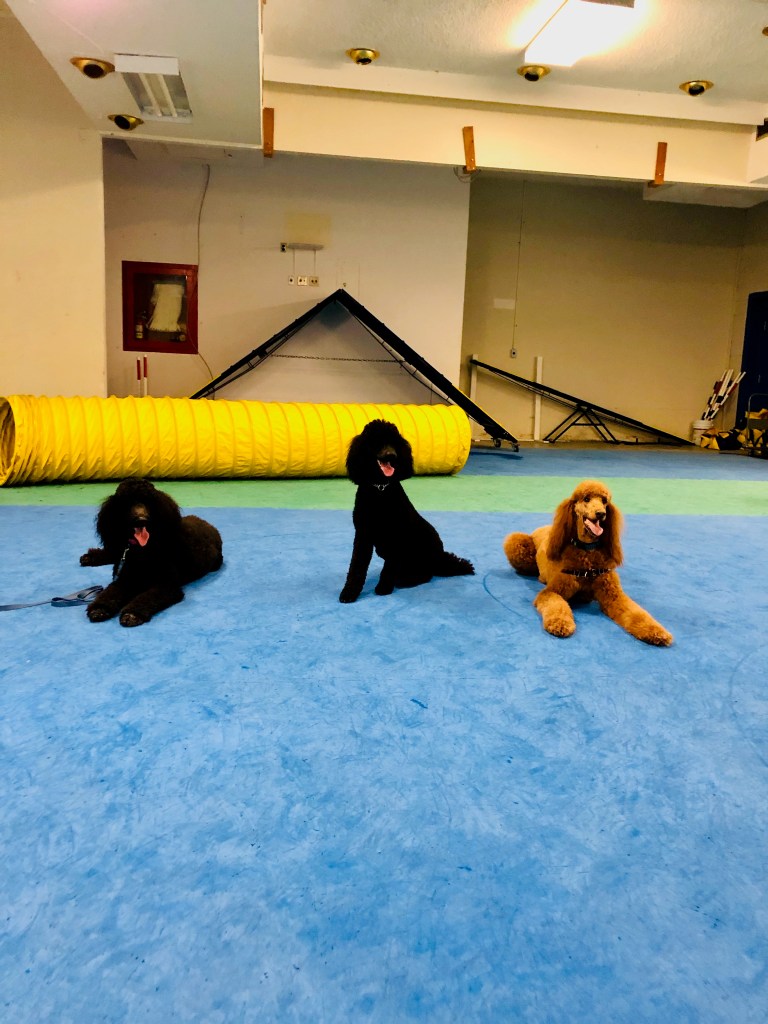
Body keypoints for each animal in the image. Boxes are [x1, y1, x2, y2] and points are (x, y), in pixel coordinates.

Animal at [80, 478, 223, 627]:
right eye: (127, 502)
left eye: (149, 502)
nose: (141, 520)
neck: (142, 550)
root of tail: (210, 526)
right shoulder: (124, 578)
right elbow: (110, 594)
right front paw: (99, 609)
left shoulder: (166, 585)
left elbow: (146, 598)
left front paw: (132, 614)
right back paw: (90, 557)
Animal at [339, 419, 474, 603]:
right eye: (376, 440)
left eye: (394, 441)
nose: (391, 455)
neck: (380, 489)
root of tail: (439, 559)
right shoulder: (363, 535)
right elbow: (356, 566)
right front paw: (349, 592)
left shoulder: (396, 536)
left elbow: (388, 567)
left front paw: (384, 587)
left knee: (426, 574)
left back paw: (405, 580)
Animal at [503, 479, 672, 645]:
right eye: (586, 499)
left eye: (604, 501)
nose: (601, 514)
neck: (587, 554)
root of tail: (543, 528)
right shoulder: (552, 592)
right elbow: (557, 605)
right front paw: (561, 623)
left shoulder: (613, 595)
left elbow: (636, 611)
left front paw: (655, 631)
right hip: (516, 543)